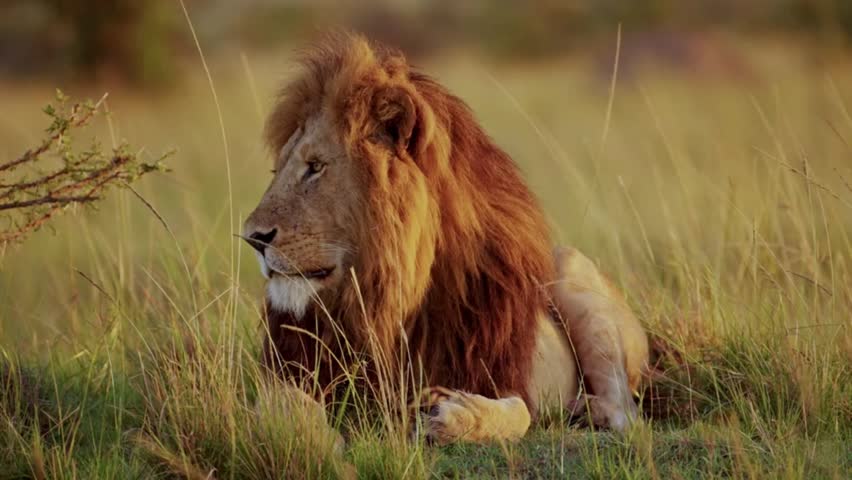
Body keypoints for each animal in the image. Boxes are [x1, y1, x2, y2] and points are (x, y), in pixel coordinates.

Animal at [242, 32, 649, 444]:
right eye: (278, 170)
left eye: (315, 167)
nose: (253, 239)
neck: (380, 302)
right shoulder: (290, 371)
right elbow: (282, 406)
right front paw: (315, 439)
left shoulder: (500, 373)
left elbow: (519, 413)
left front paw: (451, 414)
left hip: (572, 272)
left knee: (628, 413)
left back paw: (586, 410)